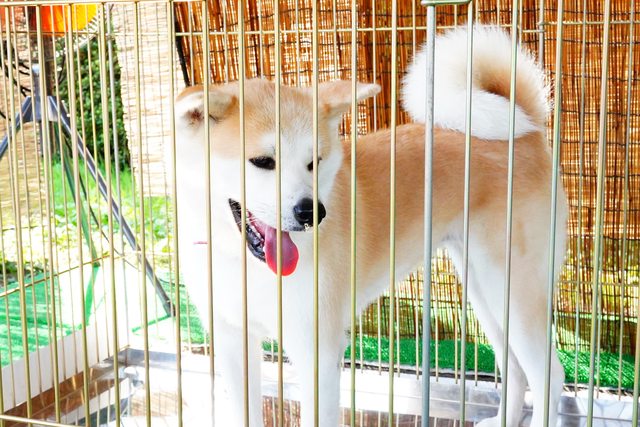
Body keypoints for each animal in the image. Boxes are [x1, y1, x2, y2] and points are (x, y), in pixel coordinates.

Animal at [168, 25, 567, 427]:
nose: (311, 212)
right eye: (263, 161)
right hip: (485, 291)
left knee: (549, 375)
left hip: (513, 290)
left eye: (314, 162)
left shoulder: (317, 353)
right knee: (514, 369)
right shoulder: (234, 344)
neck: (243, 264)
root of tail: (527, 132)